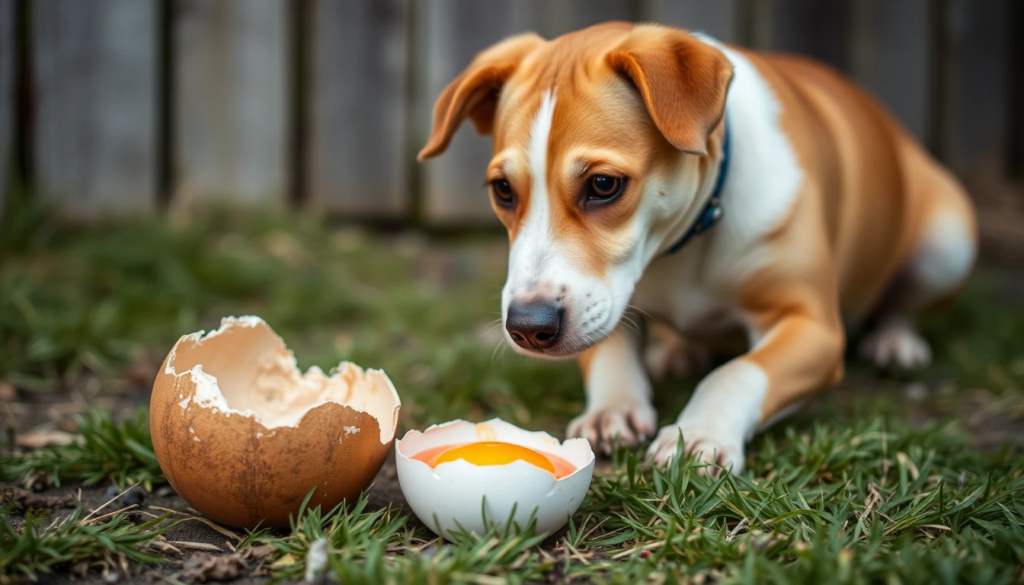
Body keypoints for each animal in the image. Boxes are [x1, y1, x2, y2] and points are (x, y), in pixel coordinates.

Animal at [413, 21, 974, 475]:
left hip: (950, 240)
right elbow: (607, 348)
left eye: (603, 185)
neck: (680, 247)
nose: (528, 328)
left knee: (902, 303)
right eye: (503, 190)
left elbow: (737, 372)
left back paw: (896, 342)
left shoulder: (812, 326)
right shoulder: (602, 303)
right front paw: (612, 409)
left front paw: (699, 434)